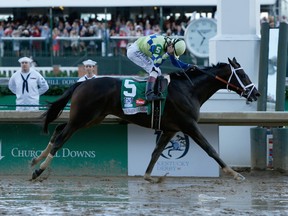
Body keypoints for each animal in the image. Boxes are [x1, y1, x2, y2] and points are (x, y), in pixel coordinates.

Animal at [31, 57, 260, 182]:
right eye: (243, 75)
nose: (256, 93)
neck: (189, 89)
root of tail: (82, 83)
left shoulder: (170, 128)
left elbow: (156, 152)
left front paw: (149, 176)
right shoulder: (189, 125)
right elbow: (210, 149)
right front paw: (234, 173)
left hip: (91, 118)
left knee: (59, 129)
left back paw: (36, 159)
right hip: (83, 117)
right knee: (61, 138)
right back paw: (38, 170)